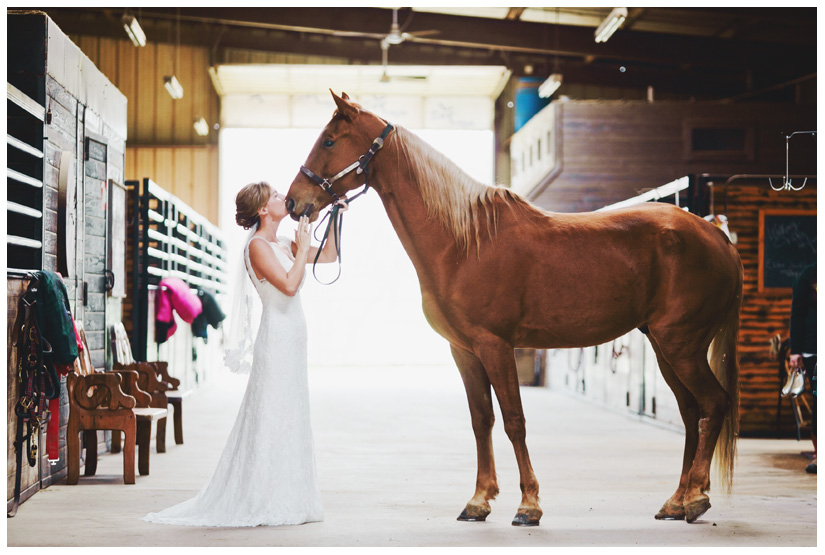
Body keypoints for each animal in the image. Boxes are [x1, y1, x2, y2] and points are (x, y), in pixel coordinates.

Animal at [286, 90, 744, 524]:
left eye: (329, 140)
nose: (293, 202)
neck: (464, 241)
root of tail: (716, 235)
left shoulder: (496, 346)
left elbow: (513, 421)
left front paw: (528, 506)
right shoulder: (464, 351)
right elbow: (481, 421)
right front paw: (478, 501)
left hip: (680, 346)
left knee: (713, 404)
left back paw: (696, 497)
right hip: (666, 347)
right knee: (690, 412)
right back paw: (675, 501)